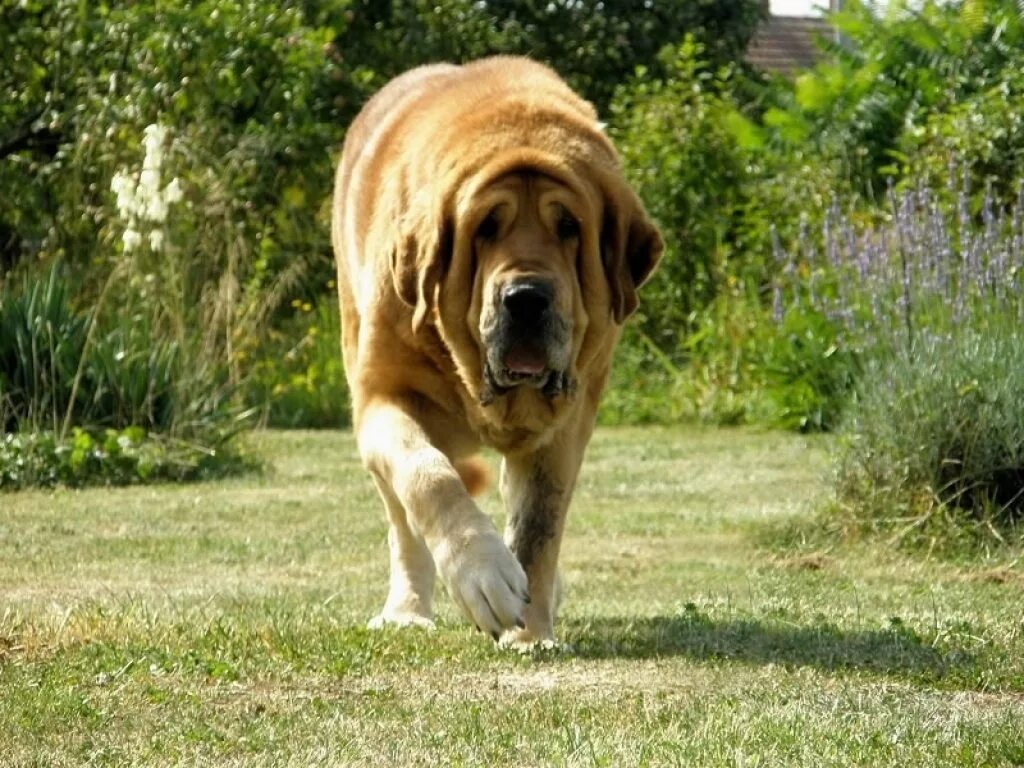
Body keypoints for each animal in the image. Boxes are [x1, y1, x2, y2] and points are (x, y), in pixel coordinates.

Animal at [331, 55, 659, 651]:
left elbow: (538, 527)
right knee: (403, 522)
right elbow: (429, 475)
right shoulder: (382, 398)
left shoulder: (564, 428)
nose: (526, 298)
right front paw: (482, 573)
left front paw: (532, 635)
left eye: (569, 226)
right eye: (486, 226)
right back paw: (407, 611)